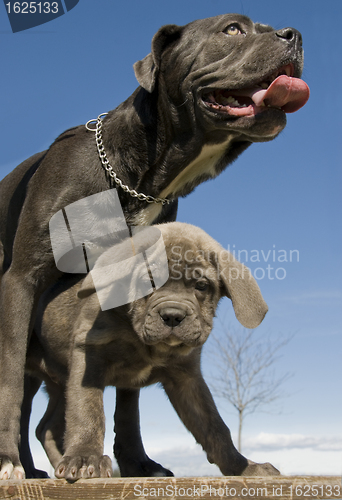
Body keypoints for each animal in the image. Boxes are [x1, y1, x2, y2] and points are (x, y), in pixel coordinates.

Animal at [24, 224, 280, 480]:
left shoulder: (187, 378)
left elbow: (214, 426)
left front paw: (243, 467)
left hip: (59, 383)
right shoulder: (88, 354)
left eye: (201, 286)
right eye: (148, 282)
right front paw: (86, 457)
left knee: (46, 428)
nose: (173, 315)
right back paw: (30, 470)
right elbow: (87, 410)